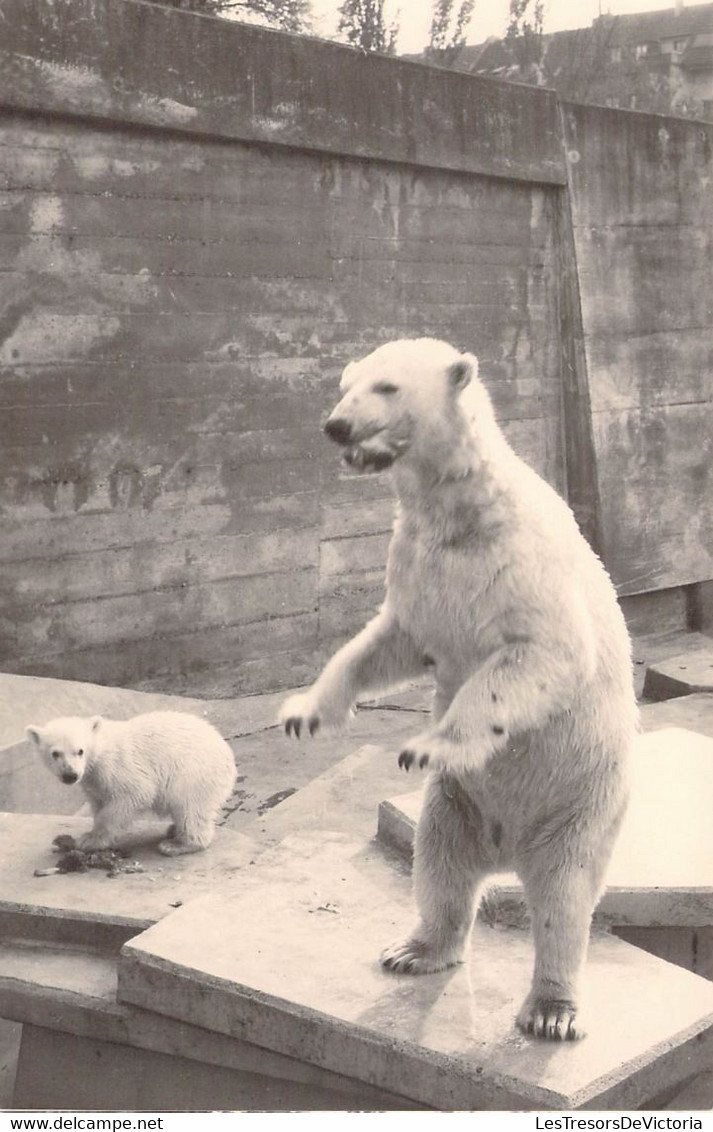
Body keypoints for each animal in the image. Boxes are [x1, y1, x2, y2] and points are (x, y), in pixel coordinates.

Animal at [281, 335, 638, 1041]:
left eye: (387, 386)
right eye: (344, 384)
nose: (336, 425)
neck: (463, 512)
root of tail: (508, 850)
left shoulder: (520, 563)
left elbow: (542, 654)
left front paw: (428, 744)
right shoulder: (419, 562)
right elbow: (389, 640)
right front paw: (305, 711)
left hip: (581, 801)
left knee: (564, 897)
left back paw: (551, 1009)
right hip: (458, 805)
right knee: (440, 863)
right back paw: (415, 948)